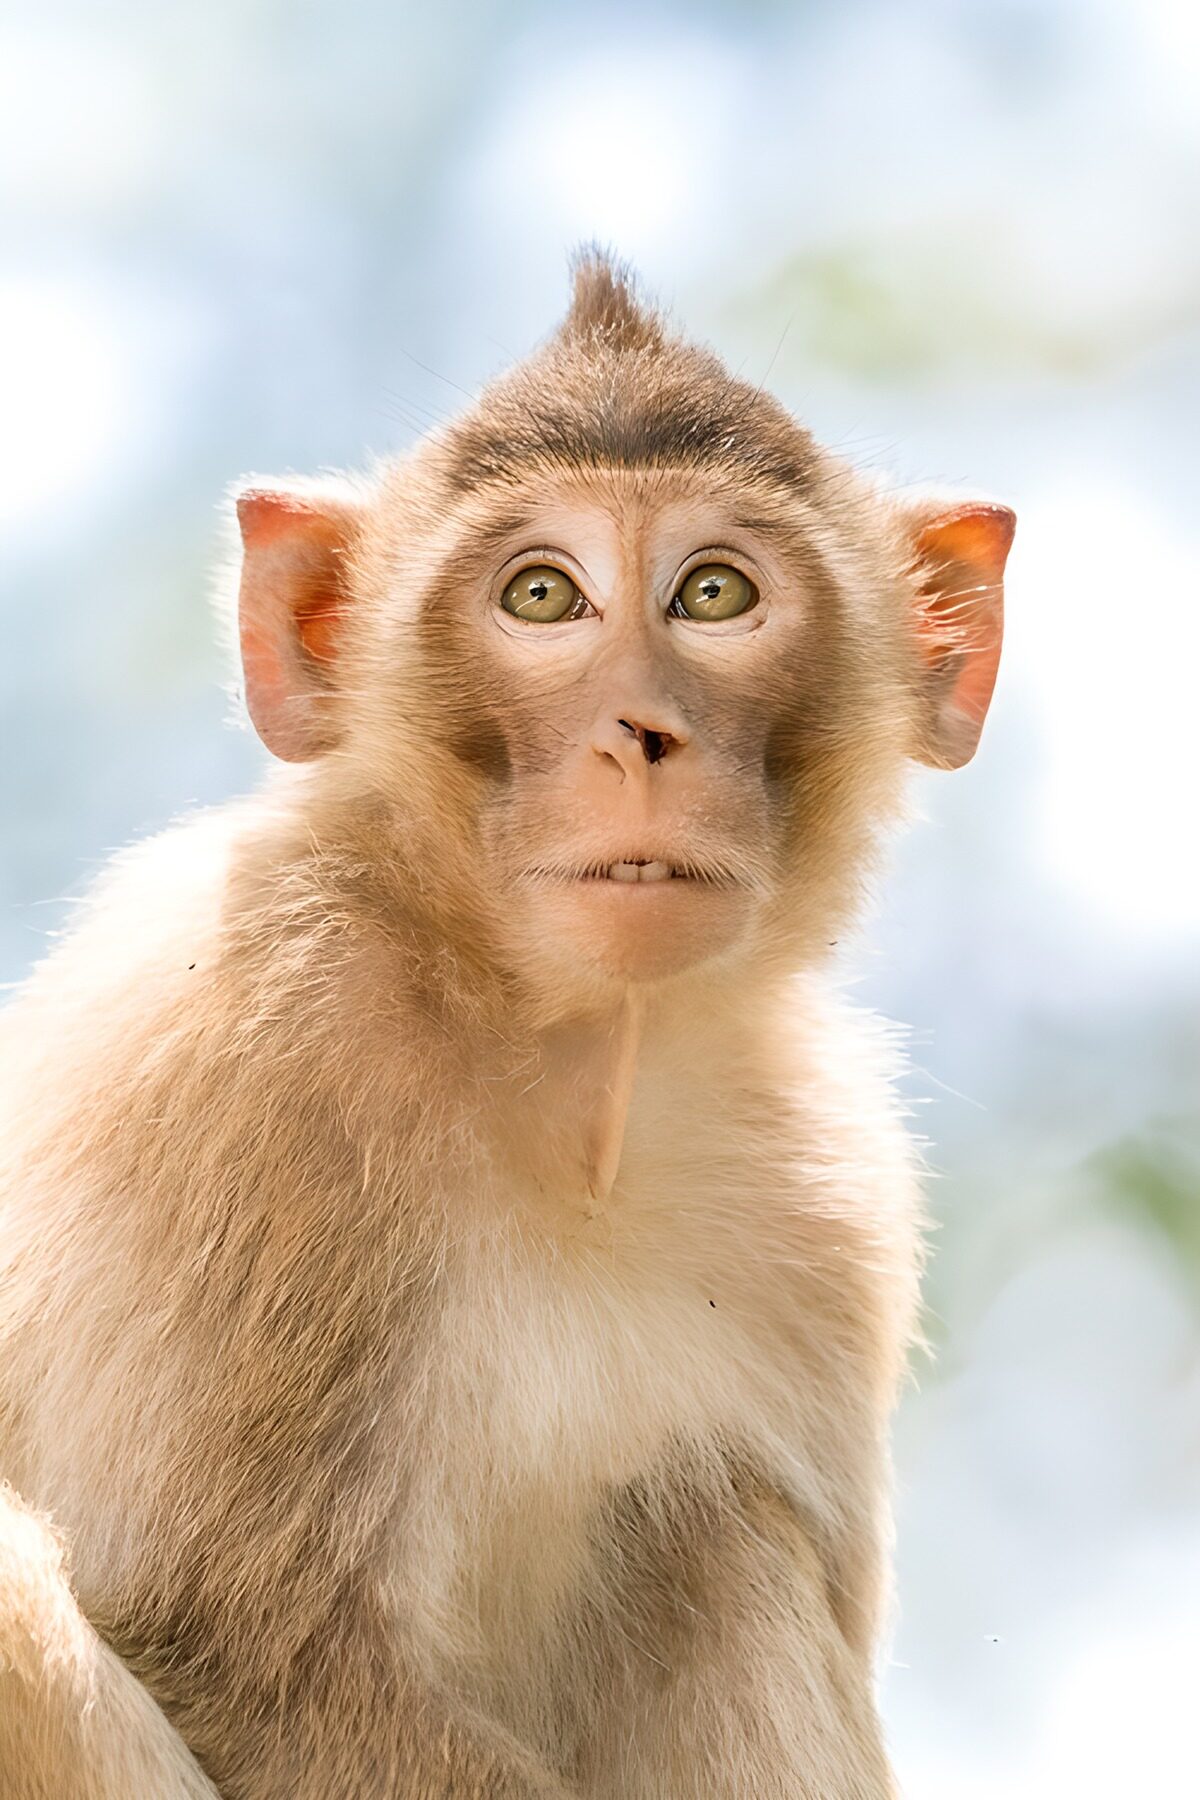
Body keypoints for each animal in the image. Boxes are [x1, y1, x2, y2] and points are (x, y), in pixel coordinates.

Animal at [0, 251, 1014, 1799]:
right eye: (542, 595)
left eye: (714, 592)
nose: (640, 732)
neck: (554, 1057)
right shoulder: (247, 1042)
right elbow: (232, 1642)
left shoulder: (836, 1193)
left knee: (706, 1529)